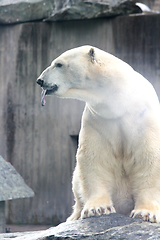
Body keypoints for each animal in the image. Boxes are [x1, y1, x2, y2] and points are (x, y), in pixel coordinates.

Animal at [36, 45, 160, 223]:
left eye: (58, 64)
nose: (40, 80)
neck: (121, 101)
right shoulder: (99, 120)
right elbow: (94, 157)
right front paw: (98, 209)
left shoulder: (144, 119)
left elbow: (149, 157)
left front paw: (146, 213)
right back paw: (74, 216)